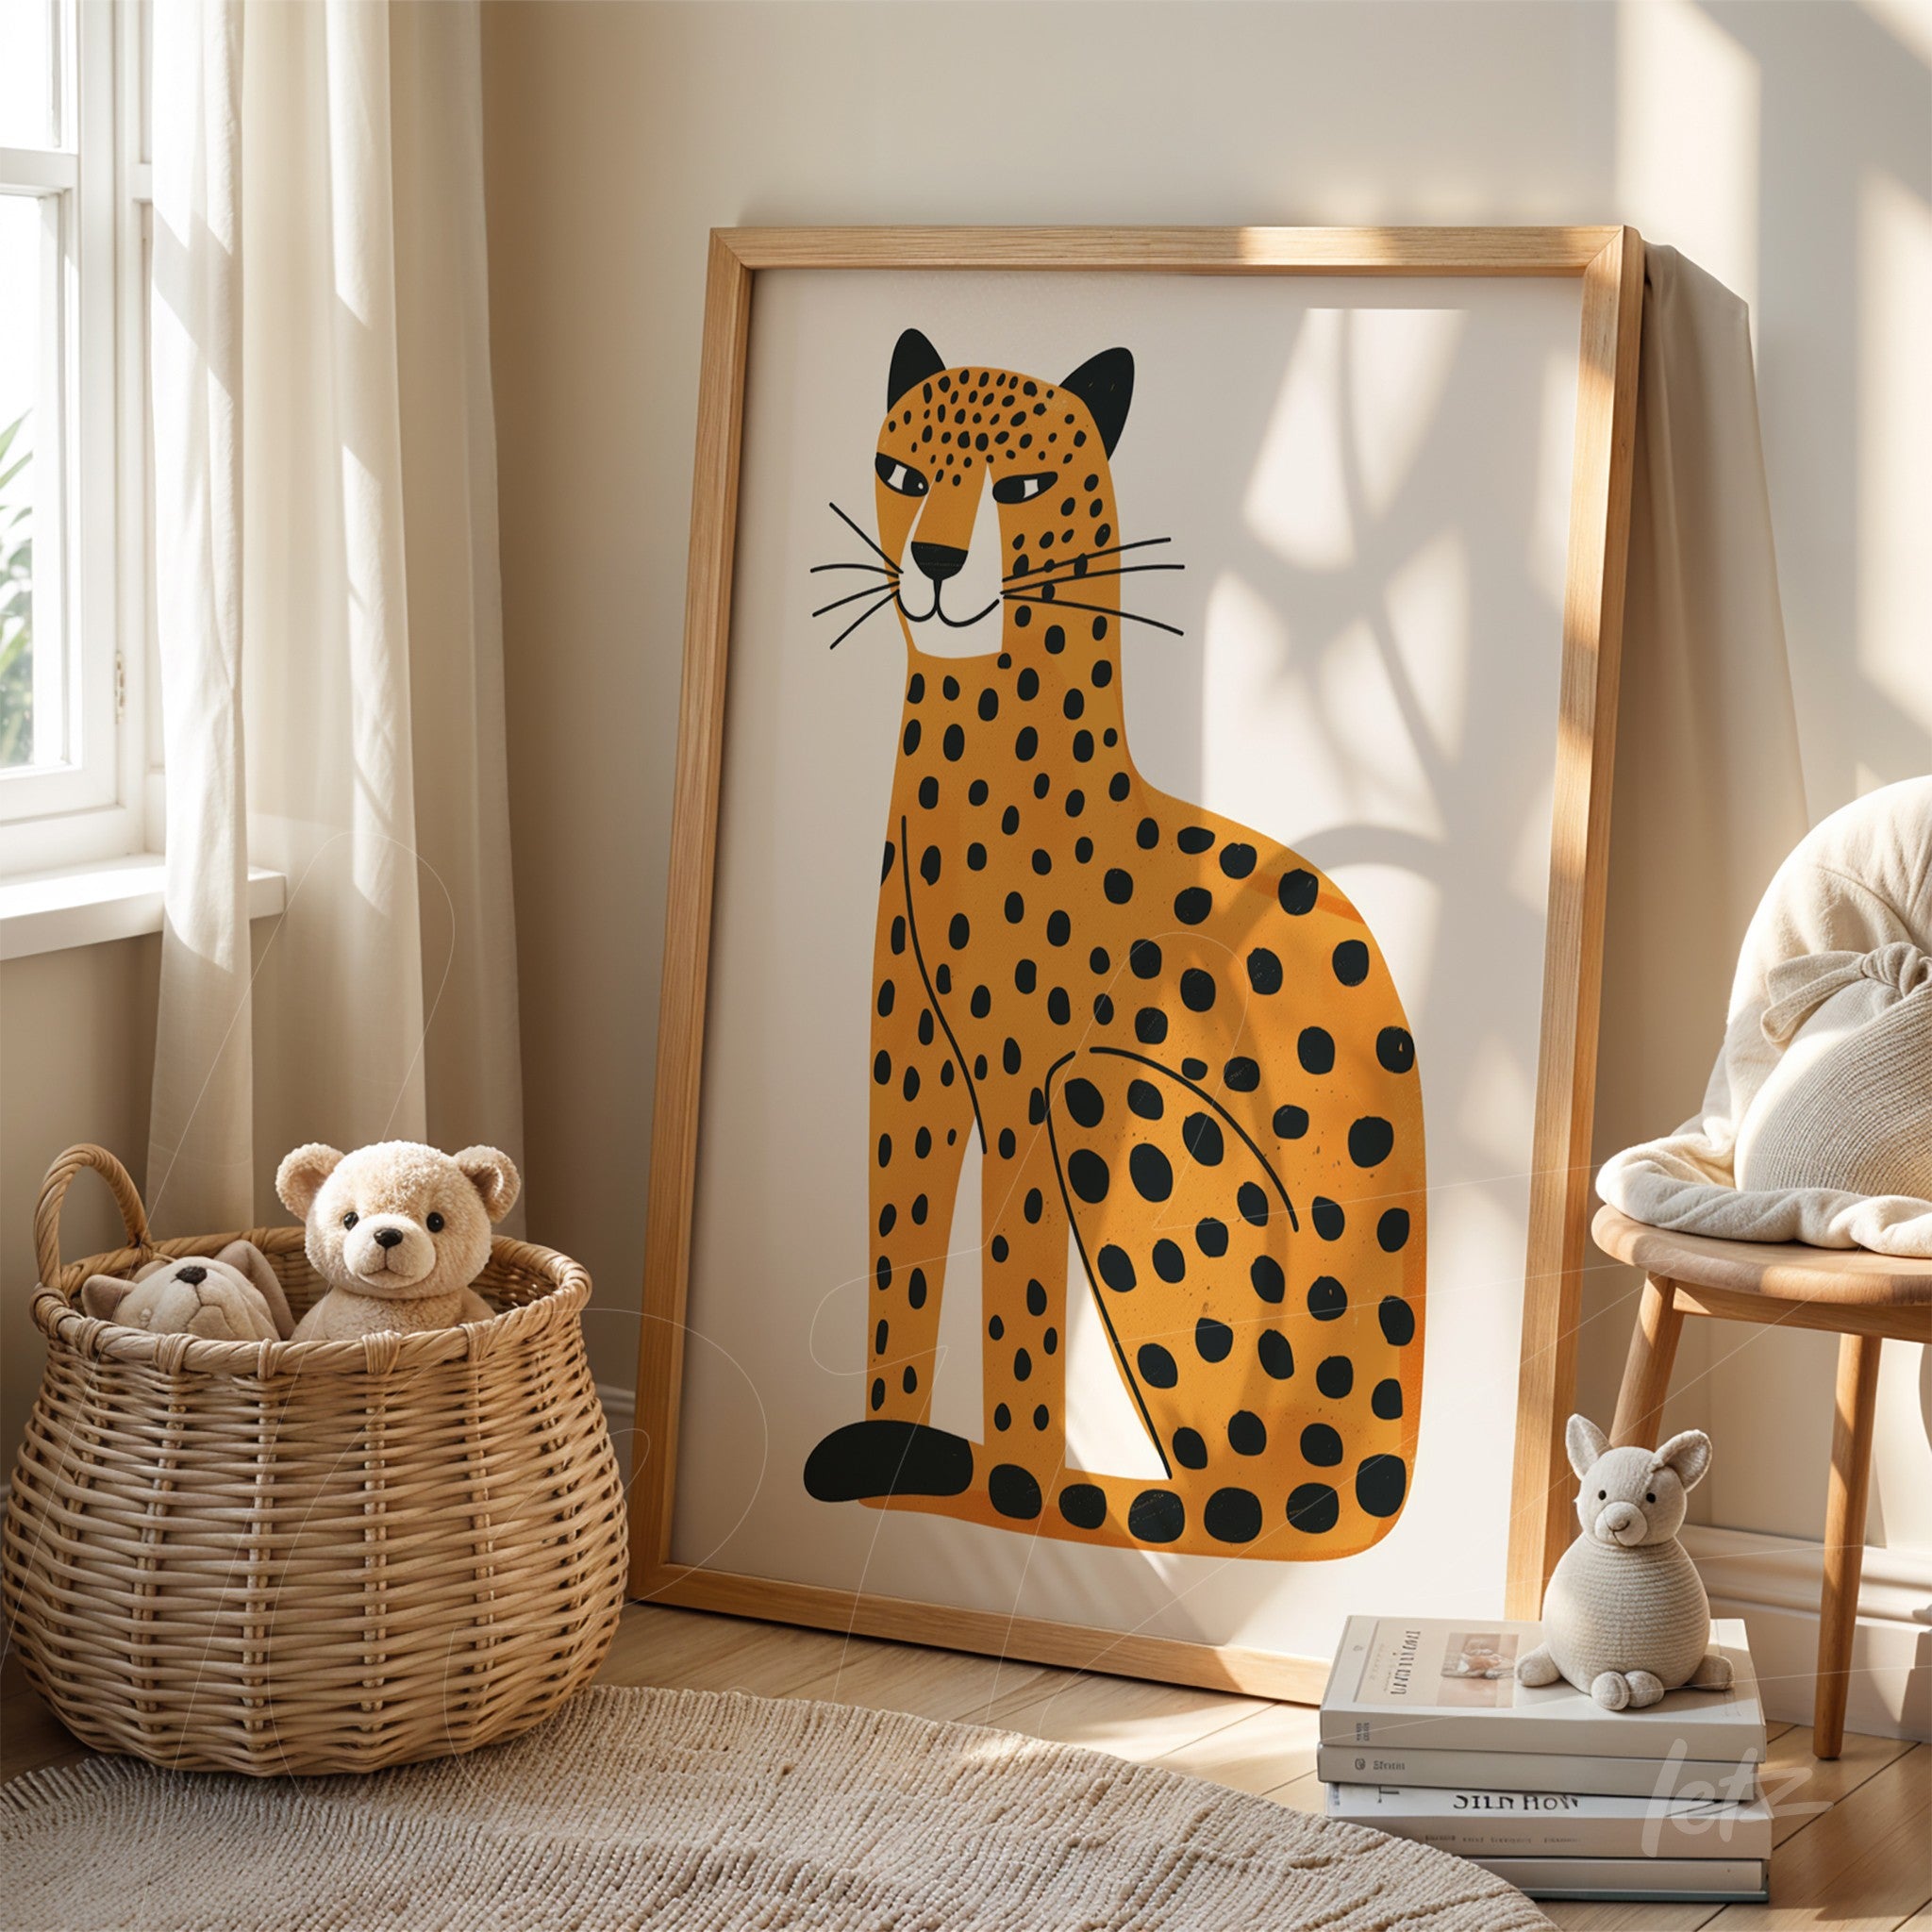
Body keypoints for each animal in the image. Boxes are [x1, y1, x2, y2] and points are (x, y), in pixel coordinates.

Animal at [803, 327, 1426, 1560]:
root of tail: (1373, 1486)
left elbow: (1017, 1295)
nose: (935, 559)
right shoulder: (907, 1066)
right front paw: (894, 1435)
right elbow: (899, 1250)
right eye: (901, 474)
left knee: (1223, 1504)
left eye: (1020, 487)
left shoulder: (1024, 1084)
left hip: (1102, 1094)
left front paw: (1010, 1480)